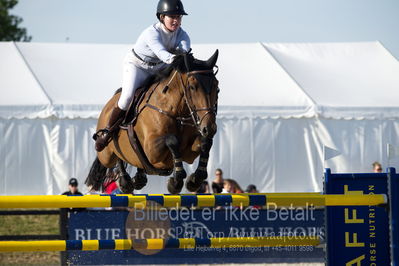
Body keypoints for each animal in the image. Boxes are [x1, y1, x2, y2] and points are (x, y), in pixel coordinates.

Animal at [85, 50, 220, 195]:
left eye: (217, 87)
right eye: (192, 87)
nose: (209, 128)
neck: (175, 111)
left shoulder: (188, 153)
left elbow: (205, 143)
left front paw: (195, 180)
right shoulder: (152, 151)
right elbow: (172, 140)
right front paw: (176, 182)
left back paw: (138, 178)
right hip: (106, 155)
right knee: (115, 156)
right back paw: (125, 180)